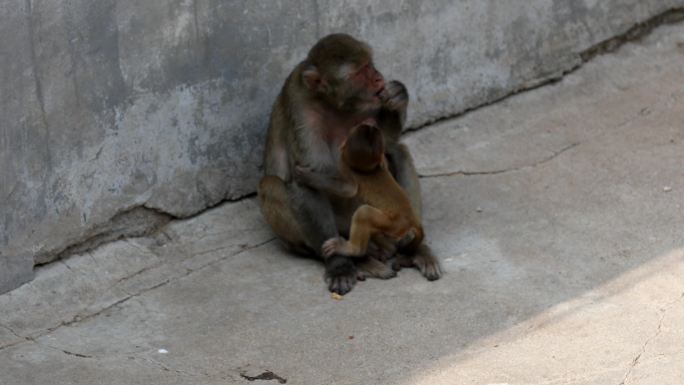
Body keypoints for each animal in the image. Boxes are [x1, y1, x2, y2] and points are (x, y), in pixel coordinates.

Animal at [294, 123, 422, 260]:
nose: (371, 125)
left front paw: (307, 177)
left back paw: (352, 250)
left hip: (394, 223)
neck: (368, 170)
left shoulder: (345, 167)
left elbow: (349, 189)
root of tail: (412, 219)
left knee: (364, 213)